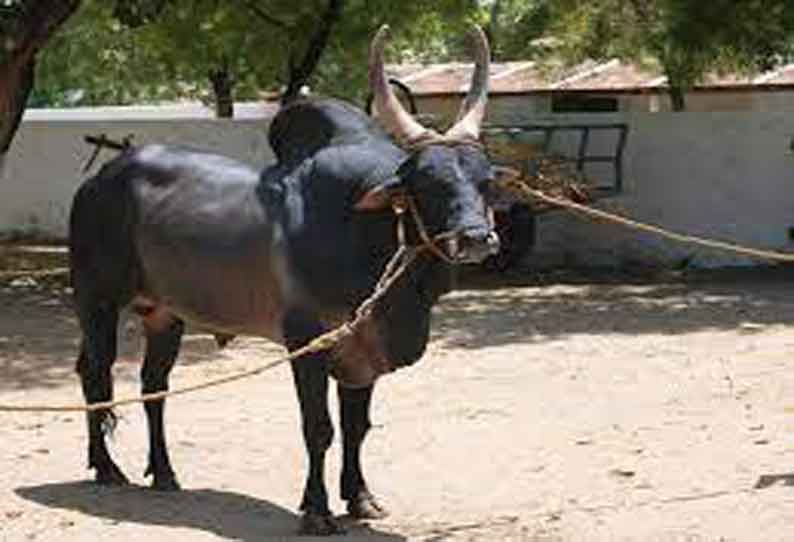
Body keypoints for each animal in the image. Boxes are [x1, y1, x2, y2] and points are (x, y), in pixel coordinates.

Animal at [69, 24, 502, 536]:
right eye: (427, 184)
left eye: (486, 182)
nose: (476, 238)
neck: (365, 236)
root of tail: (101, 178)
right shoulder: (306, 340)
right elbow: (319, 429)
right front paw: (316, 510)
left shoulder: (362, 350)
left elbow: (356, 427)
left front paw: (360, 498)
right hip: (95, 299)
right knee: (95, 374)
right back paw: (107, 467)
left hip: (164, 313)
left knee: (153, 385)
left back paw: (165, 473)